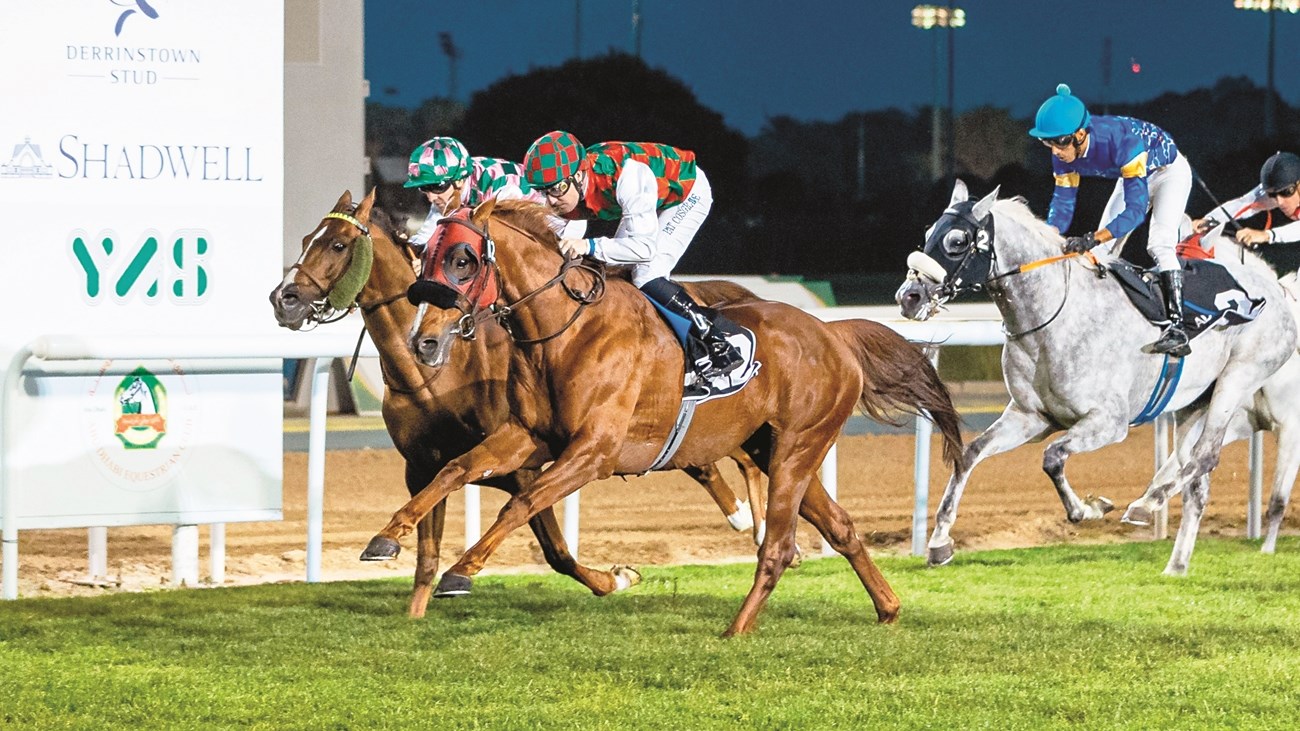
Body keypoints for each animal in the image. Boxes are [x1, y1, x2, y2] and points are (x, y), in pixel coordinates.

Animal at [267, 188, 764, 613]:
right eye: (308, 239)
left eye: (338, 245)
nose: (283, 298)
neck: (435, 375)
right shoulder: (422, 465)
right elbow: (428, 550)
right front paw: (400, 575)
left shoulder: (528, 466)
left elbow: (556, 548)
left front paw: (617, 577)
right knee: (708, 459)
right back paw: (747, 519)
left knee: (740, 457)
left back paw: (754, 523)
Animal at [369, 197, 967, 632]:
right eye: (423, 255)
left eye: (464, 259)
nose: (423, 343)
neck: (563, 330)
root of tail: (832, 332)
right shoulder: (528, 435)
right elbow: (455, 469)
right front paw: (387, 537)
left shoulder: (594, 452)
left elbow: (521, 501)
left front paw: (460, 571)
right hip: (771, 447)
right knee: (840, 527)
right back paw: (887, 607)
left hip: (799, 446)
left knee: (778, 546)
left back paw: (736, 629)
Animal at [899, 179, 1294, 572]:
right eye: (928, 233)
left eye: (957, 241)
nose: (909, 297)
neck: (1054, 318)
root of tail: (1277, 289)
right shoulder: (1030, 416)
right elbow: (970, 454)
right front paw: (939, 542)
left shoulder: (1109, 422)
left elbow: (1052, 457)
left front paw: (1089, 509)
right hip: (1192, 405)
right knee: (1197, 483)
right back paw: (1176, 566)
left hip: (1238, 378)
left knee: (1205, 457)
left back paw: (1146, 505)